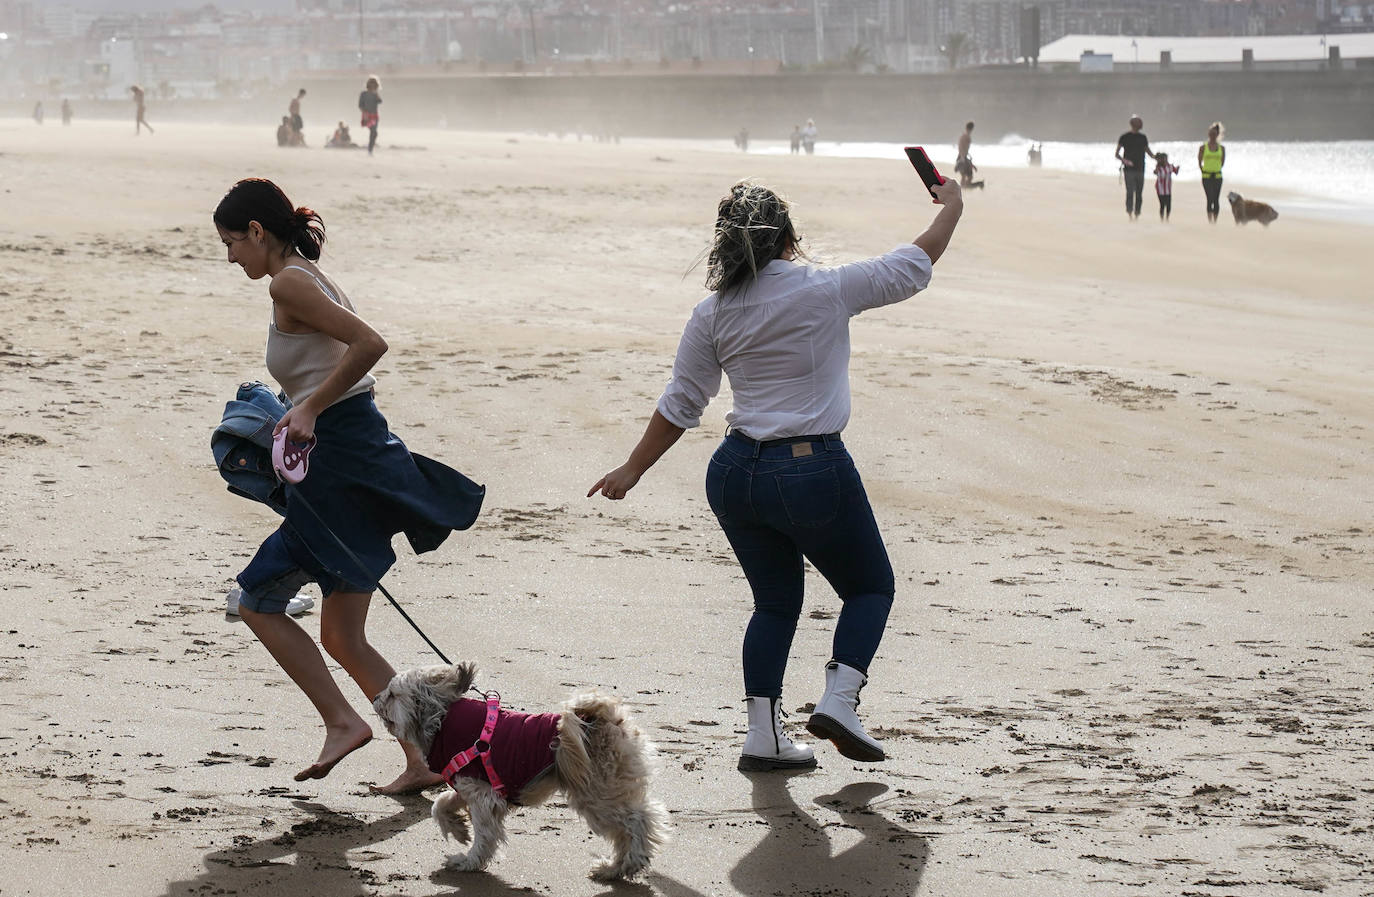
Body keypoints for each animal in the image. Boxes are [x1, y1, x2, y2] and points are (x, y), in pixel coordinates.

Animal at [370, 662, 670, 879]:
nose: (374, 697)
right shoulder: (470, 784)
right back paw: (614, 868)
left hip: (597, 795)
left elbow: (484, 835)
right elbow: (440, 804)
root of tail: (603, 716)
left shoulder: (484, 797)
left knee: (638, 820)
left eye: (393, 695)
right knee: (627, 828)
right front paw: (458, 830)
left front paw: (469, 860)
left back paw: (630, 863)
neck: (442, 718)